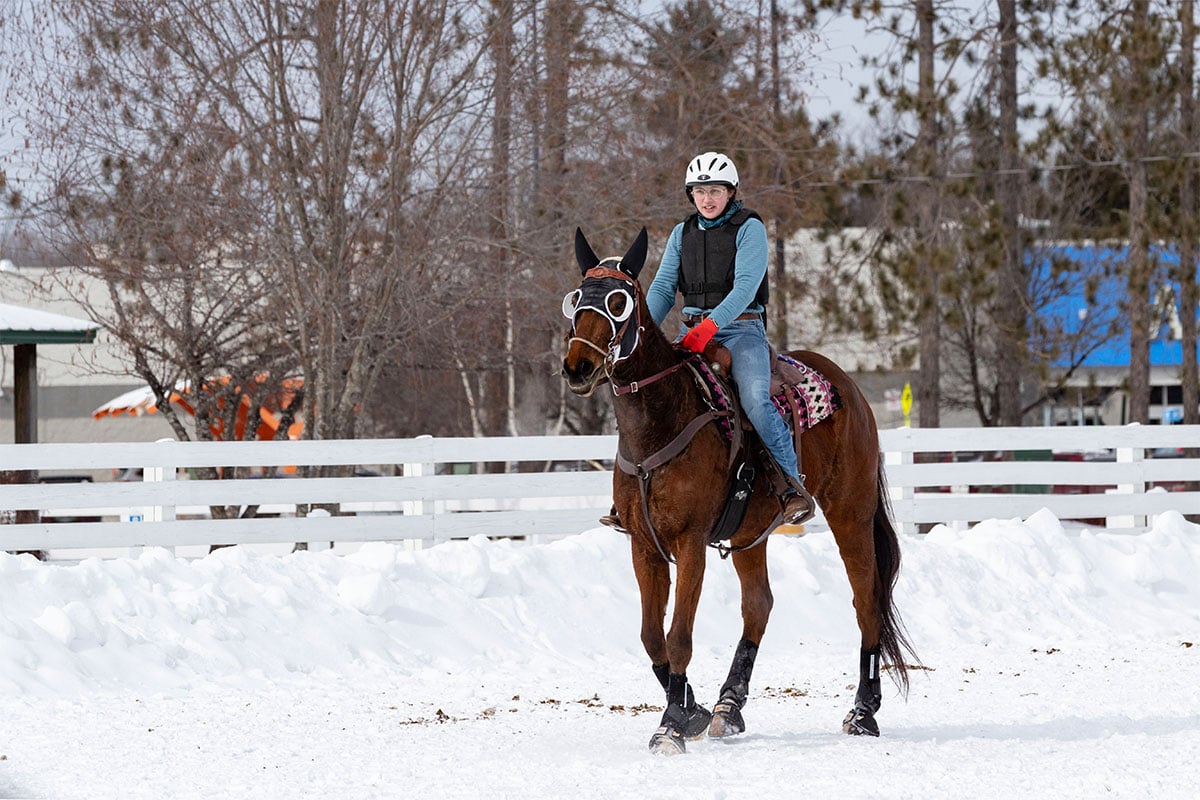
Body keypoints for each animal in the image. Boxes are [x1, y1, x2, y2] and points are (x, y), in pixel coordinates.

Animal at [556, 227, 912, 753]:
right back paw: (729, 705)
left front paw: (670, 726)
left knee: (865, 600)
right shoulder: (644, 545)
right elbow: (651, 637)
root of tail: (849, 387)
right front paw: (694, 711)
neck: (661, 421)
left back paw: (863, 712)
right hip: (750, 534)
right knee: (758, 605)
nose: (578, 366)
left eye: (620, 301)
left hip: (850, 512)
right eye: (577, 298)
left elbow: (679, 636)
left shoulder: (689, 543)